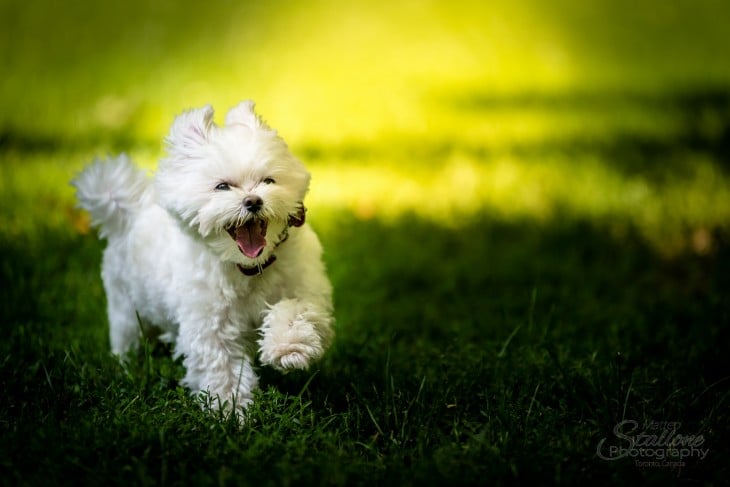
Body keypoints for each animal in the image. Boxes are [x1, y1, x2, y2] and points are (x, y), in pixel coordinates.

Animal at [72, 101, 334, 414]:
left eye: (268, 180)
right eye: (222, 187)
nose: (253, 201)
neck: (248, 268)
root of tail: (131, 214)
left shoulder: (306, 289)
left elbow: (296, 310)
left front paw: (288, 348)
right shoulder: (211, 326)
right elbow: (223, 368)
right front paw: (230, 410)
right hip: (126, 311)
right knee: (128, 339)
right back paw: (127, 366)